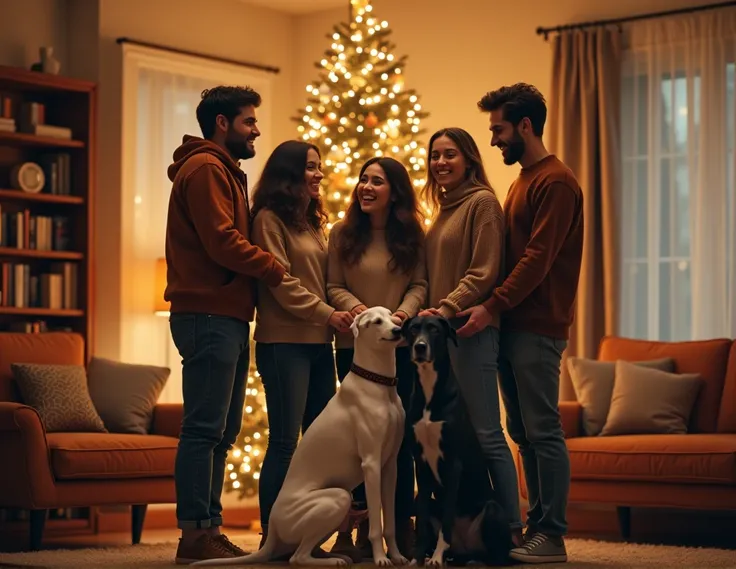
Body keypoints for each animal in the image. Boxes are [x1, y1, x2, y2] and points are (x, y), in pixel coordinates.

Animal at [194, 308, 408, 564]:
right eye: (376, 322)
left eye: (393, 317)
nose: (398, 330)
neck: (377, 382)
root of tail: (273, 529)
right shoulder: (371, 464)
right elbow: (376, 523)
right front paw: (380, 559)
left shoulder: (390, 466)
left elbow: (390, 524)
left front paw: (397, 556)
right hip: (337, 498)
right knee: (298, 558)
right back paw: (333, 560)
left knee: (302, 551)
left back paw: (335, 556)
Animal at [402, 312, 512, 564]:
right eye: (413, 329)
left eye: (434, 329)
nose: (420, 347)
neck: (429, 390)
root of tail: (465, 551)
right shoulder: (420, 465)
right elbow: (422, 520)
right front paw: (418, 559)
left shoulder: (453, 465)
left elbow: (447, 521)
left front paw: (436, 559)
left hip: (493, 510)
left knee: (498, 557)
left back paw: (475, 562)